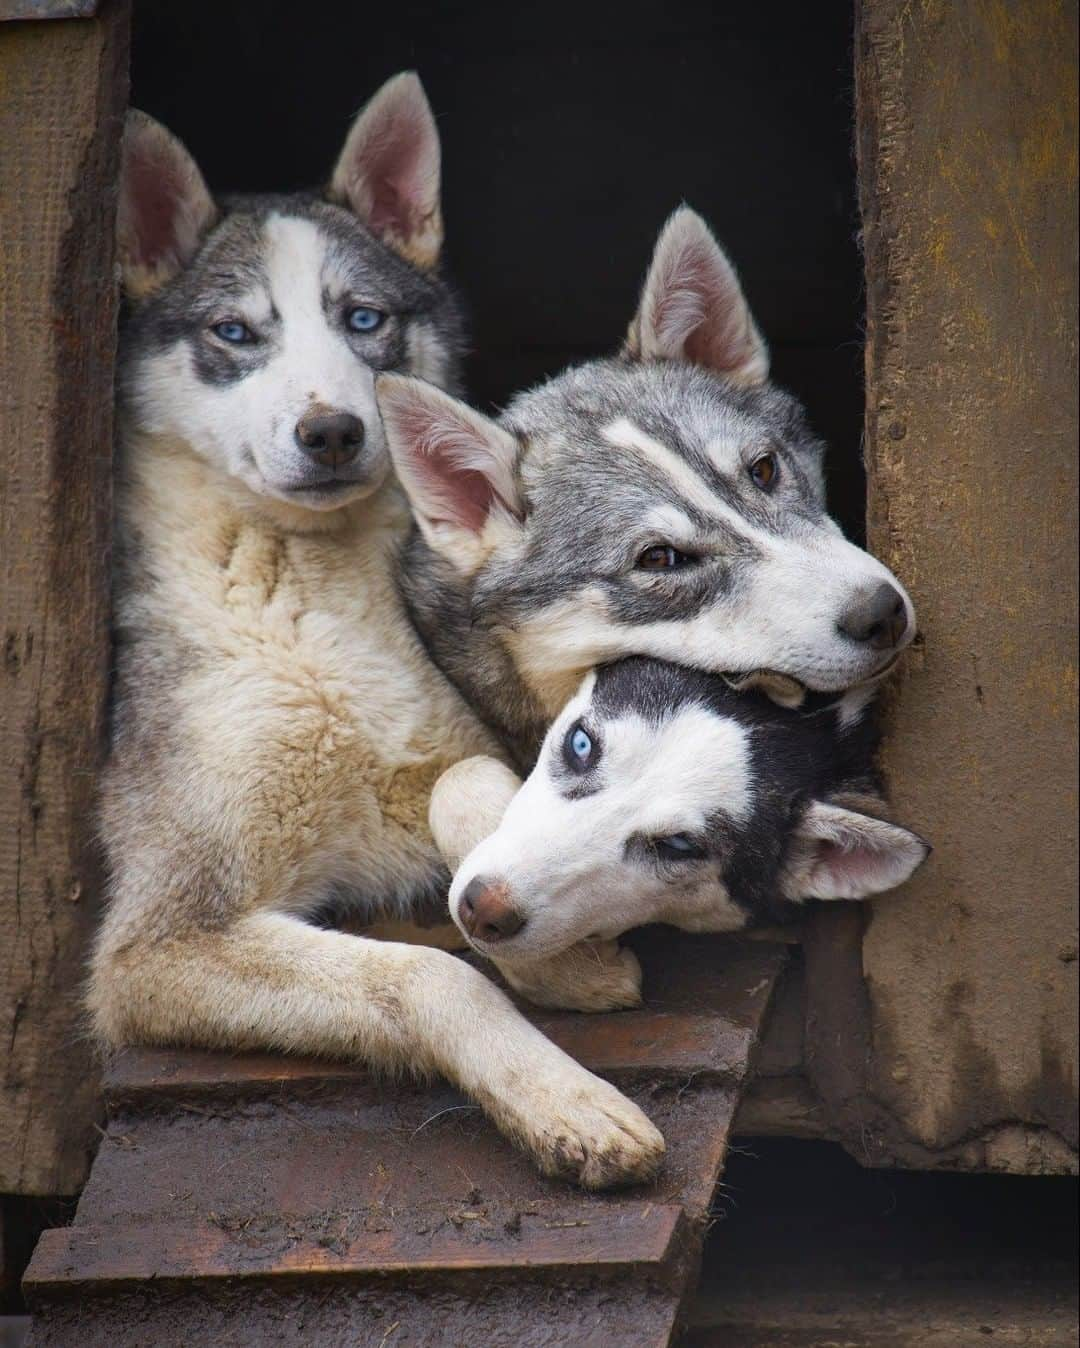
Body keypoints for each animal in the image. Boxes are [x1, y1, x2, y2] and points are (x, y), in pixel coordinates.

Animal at [90, 76, 666, 1191]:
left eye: (365, 320)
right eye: (235, 333)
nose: (332, 431)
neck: (305, 605)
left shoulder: (458, 755)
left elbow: (469, 789)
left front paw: (561, 952)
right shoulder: (157, 943)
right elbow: (432, 978)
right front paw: (564, 1093)